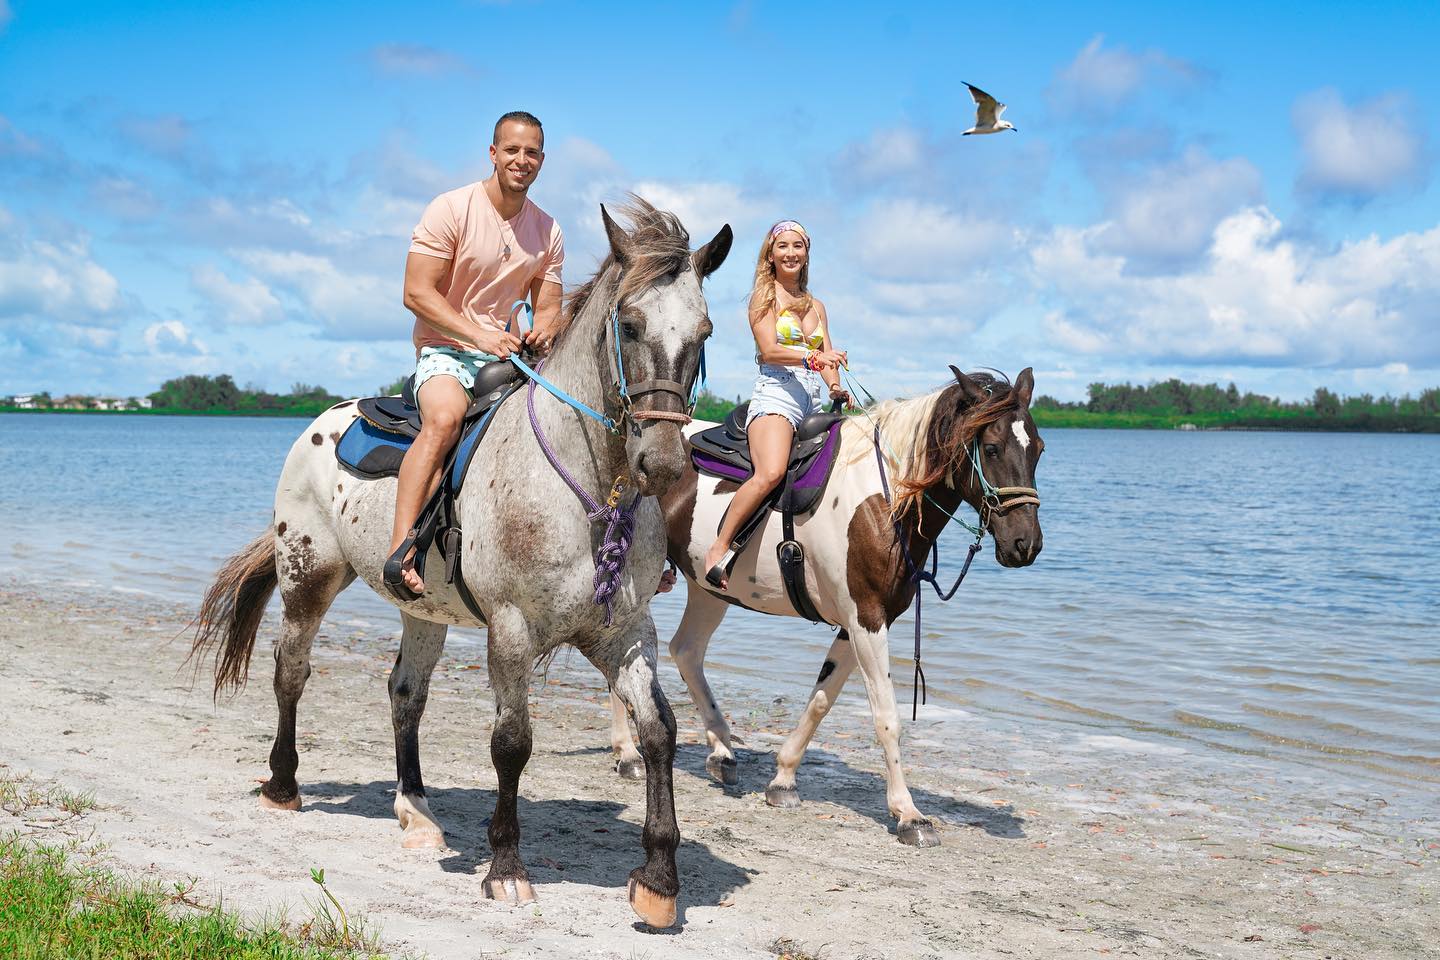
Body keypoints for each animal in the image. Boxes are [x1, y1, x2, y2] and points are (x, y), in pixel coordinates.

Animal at [191, 198, 731, 926]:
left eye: (703, 331)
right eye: (631, 323)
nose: (666, 464)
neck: (584, 488)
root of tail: (322, 422)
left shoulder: (623, 631)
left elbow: (659, 733)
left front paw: (659, 879)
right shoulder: (511, 627)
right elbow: (512, 742)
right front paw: (505, 868)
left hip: (422, 608)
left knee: (405, 693)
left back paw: (416, 811)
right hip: (308, 577)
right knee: (292, 671)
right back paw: (282, 782)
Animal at [610, 364, 1048, 846]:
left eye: (1039, 449)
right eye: (990, 448)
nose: (1025, 544)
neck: (884, 494)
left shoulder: (861, 621)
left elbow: (822, 699)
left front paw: (783, 779)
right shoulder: (867, 620)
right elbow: (886, 716)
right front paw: (909, 813)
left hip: (708, 590)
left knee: (685, 651)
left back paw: (721, 751)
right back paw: (628, 753)